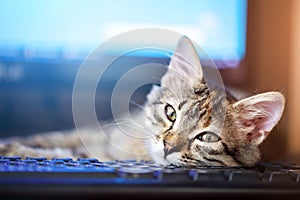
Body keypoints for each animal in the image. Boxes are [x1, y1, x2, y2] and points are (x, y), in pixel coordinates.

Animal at [0, 36, 284, 167]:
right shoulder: (97, 131)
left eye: (207, 138)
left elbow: (62, 154)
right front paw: (16, 142)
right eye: (171, 113)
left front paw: (17, 150)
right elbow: (54, 137)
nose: (168, 145)